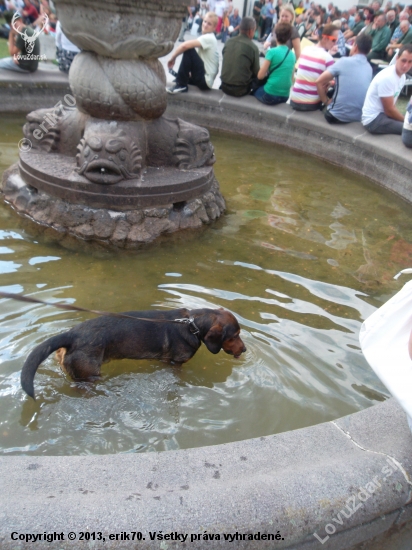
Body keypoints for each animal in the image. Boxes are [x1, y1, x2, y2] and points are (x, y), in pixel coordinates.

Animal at [20, 308, 246, 398]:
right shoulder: (175, 363)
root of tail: (71, 334)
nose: (244, 349)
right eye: (234, 335)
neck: (192, 325)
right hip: (89, 376)